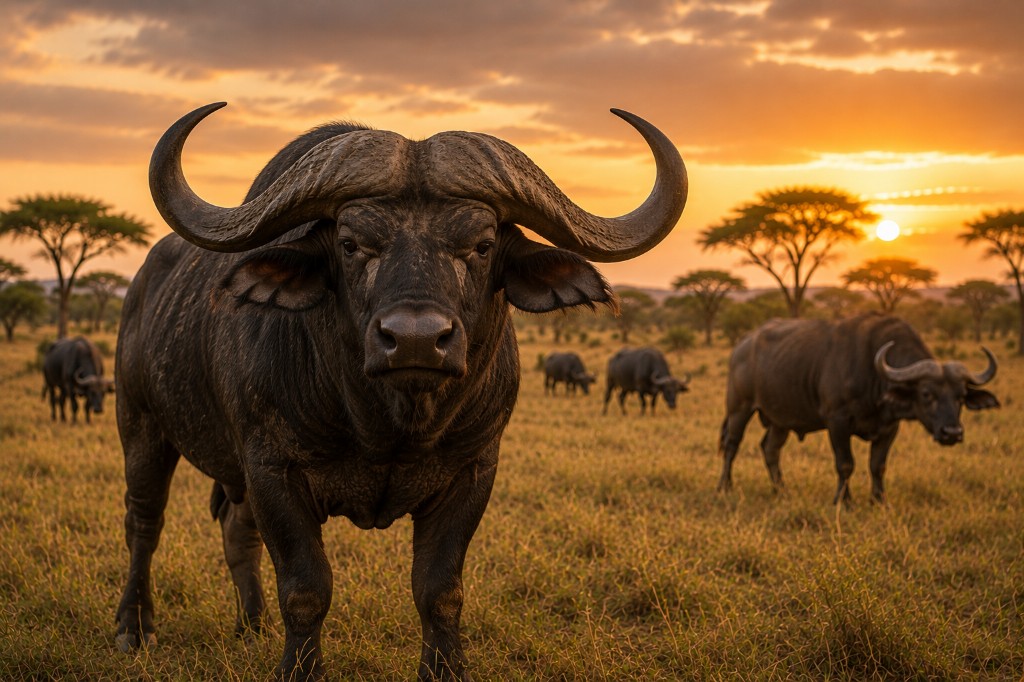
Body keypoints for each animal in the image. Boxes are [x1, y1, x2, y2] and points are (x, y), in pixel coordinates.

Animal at [114, 102, 687, 680]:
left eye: (481, 245)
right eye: (350, 244)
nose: (415, 339)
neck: (387, 422)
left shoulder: (473, 470)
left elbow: (440, 591)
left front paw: (445, 668)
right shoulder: (272, 468)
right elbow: (305, 589)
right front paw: (300, 669)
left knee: (237, 530)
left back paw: (251, 625)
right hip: (141, 427)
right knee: (144, 522)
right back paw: (133, 628)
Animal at [717, 313, 999, 505]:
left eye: (961, 397)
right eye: (927, 394)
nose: (952, 433)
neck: (873, 373)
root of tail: (742, 345)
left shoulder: (889, 428)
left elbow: (877, 465)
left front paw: (879, 501)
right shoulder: (837, 423)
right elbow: (845, 464)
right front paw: (844, 501)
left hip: (781, 420)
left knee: (770, 449)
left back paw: (782, 491)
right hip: (739, 408)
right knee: (732, 445)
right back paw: (724, 487)